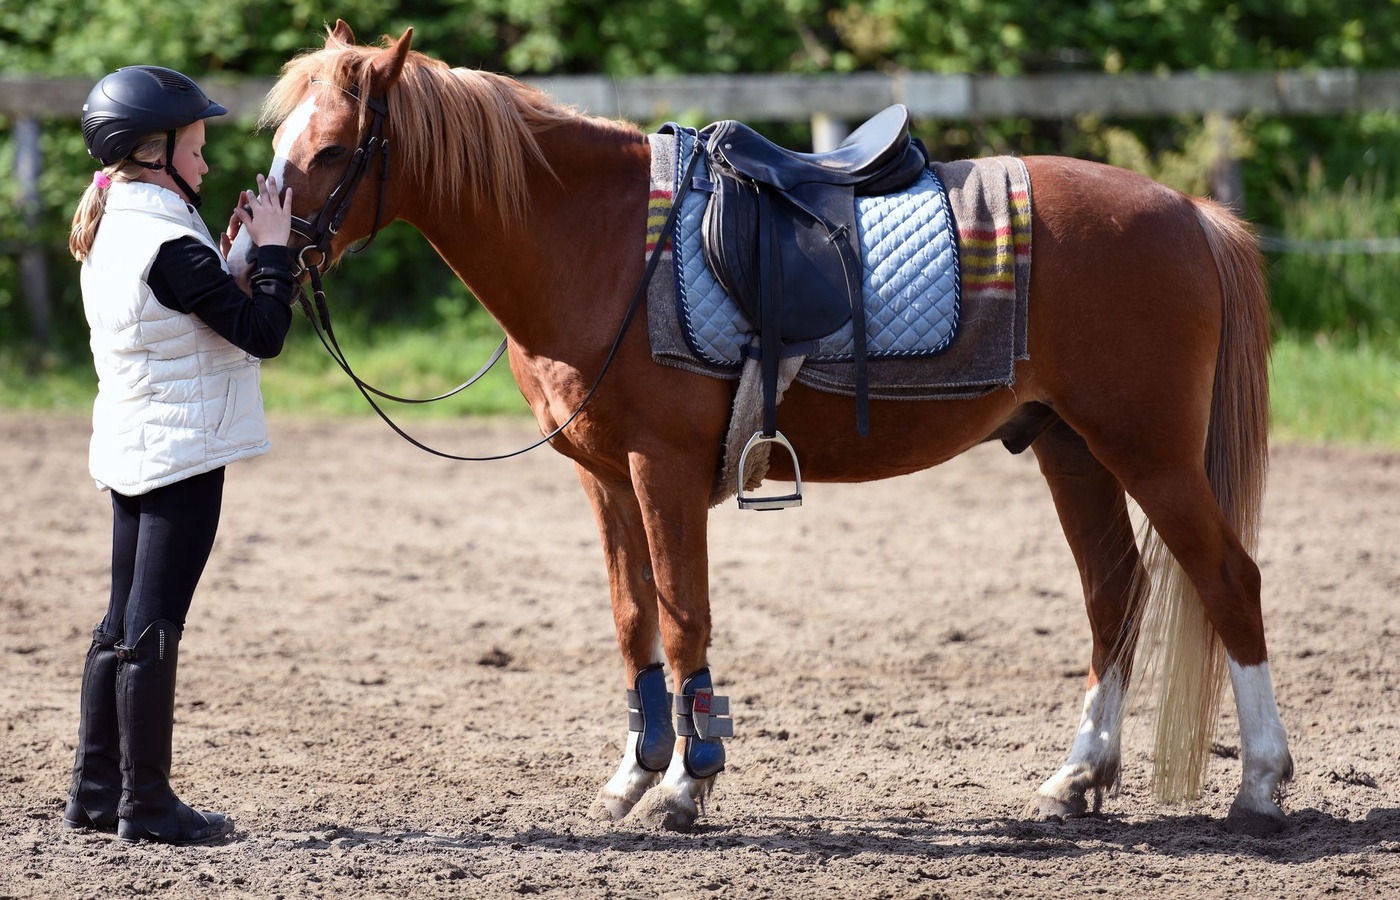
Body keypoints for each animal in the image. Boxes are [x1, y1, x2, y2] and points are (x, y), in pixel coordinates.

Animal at [230, 21, 1292, 837]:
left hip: (1150, 451)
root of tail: (1189, 211)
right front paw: (634, 772)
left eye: (332, 150)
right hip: (1071, 447)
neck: (597, 241)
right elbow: (632, 618)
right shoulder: (603, 478)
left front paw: (685, 783)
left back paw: (1261, 786)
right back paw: (1078, 777)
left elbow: (683, 616)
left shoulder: (658, 470)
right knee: (1115, 595)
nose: (246, 263)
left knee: (1229, 580)